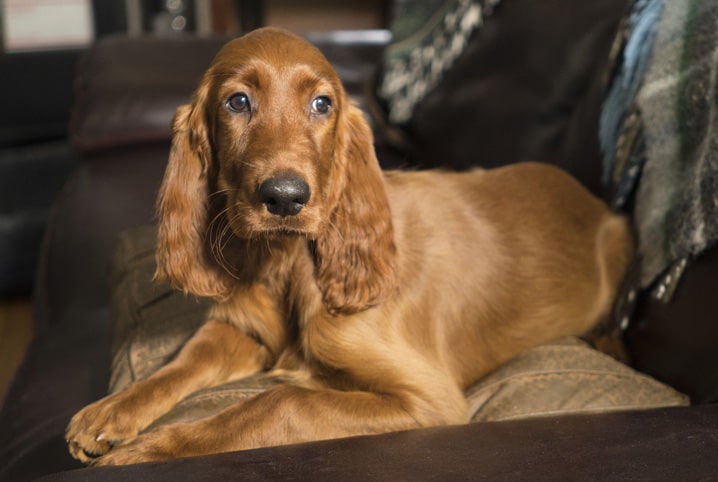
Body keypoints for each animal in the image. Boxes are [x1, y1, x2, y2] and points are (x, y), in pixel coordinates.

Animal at [66, 27, 632, 466]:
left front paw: (144, 452)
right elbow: (181, 361)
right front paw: (110, 411)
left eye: (322, 104)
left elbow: (280, 401)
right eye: (237, 101)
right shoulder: (242, 328)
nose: (285, 197)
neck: (288, 262)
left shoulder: (431, 399)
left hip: (619, 241)